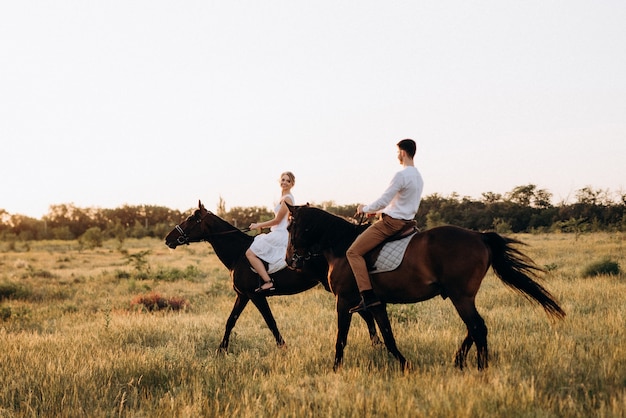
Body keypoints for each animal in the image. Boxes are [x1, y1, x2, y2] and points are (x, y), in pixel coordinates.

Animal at [165, 202, 380, 352]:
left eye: (190, 219)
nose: (168, 239)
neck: (238, 253)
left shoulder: (256, 295)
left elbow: (270, 322)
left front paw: (283, 347)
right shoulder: (243, 295)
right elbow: (230, 321)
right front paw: (221, 350)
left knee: (366, 313)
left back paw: (377, 344)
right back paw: (376, 344)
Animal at [286, 204, 564, 370]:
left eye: (290, 227)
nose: (290, 260)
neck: (342, 246)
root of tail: (480, 236)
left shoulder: (343, 300)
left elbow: (341, 338)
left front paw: (335, 368)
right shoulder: (376, 302)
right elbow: (388, 335)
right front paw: (405, 365)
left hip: (460, 296)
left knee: (477, 327)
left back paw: (480, 367)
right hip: (463, 296)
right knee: (474, 328)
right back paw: (459, 361)